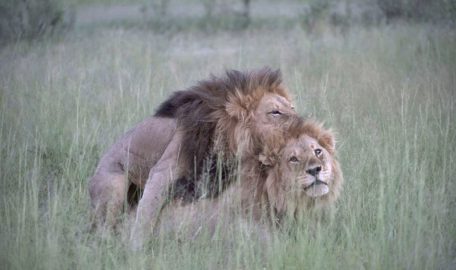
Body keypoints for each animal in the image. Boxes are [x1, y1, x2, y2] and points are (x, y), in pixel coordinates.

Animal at [87, 67, 298, 243]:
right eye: (275, 112)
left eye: (292, 108)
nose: (301, 121)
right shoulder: (164, 170)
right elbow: (147, 211)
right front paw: (136, 248)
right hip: (113, 187)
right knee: (106, 223)